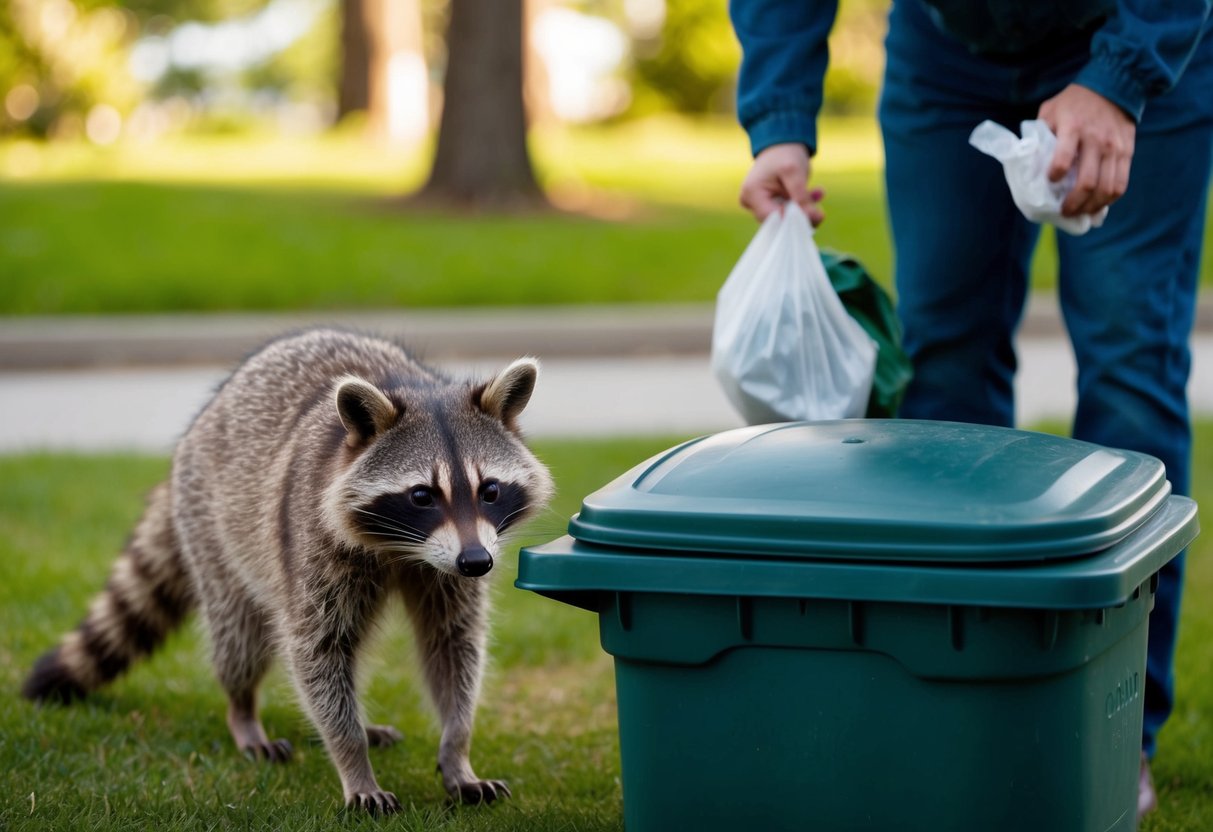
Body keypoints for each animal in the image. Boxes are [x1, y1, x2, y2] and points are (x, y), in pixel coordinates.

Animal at [22, 328, 554, 814]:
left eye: (490, 490)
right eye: (422, 495)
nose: (477, 562)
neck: (405, 550)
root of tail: (202, 419)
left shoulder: (448, 570)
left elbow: (453, 644)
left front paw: (457, 751)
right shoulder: (311, 543)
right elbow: (315, 650)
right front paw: (352, 761)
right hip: (215, 533)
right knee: (240, 638)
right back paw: (243, 711)